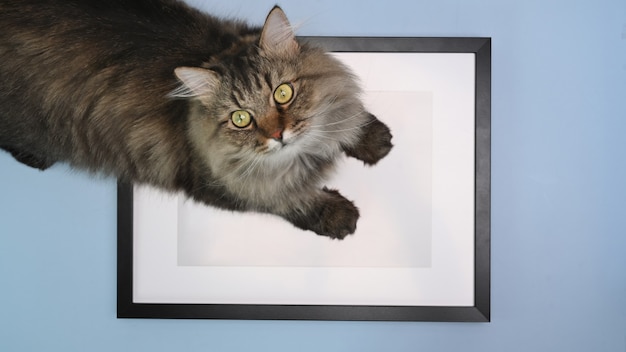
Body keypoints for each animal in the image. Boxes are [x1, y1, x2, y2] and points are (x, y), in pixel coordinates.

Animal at [0, 0, 390, 239]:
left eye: (283, 94)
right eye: (241, 118)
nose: (278, 134)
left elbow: (347, 116)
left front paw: (371, 136)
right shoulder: (218, 183)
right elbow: (284, 197)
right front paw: (336, 214)